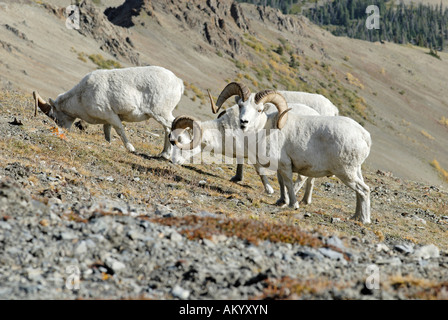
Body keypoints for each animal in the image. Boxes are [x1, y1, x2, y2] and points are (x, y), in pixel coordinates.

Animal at [32, 66, 184, 159]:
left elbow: (120, 130)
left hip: (161, 114)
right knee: (168, 129)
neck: (81, 96)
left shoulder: (111, 115)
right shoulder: (107, 120)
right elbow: (107, 132)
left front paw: (131, 148)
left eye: (54, 117)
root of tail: (178, 82)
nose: (63, 129)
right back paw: (164, 154)